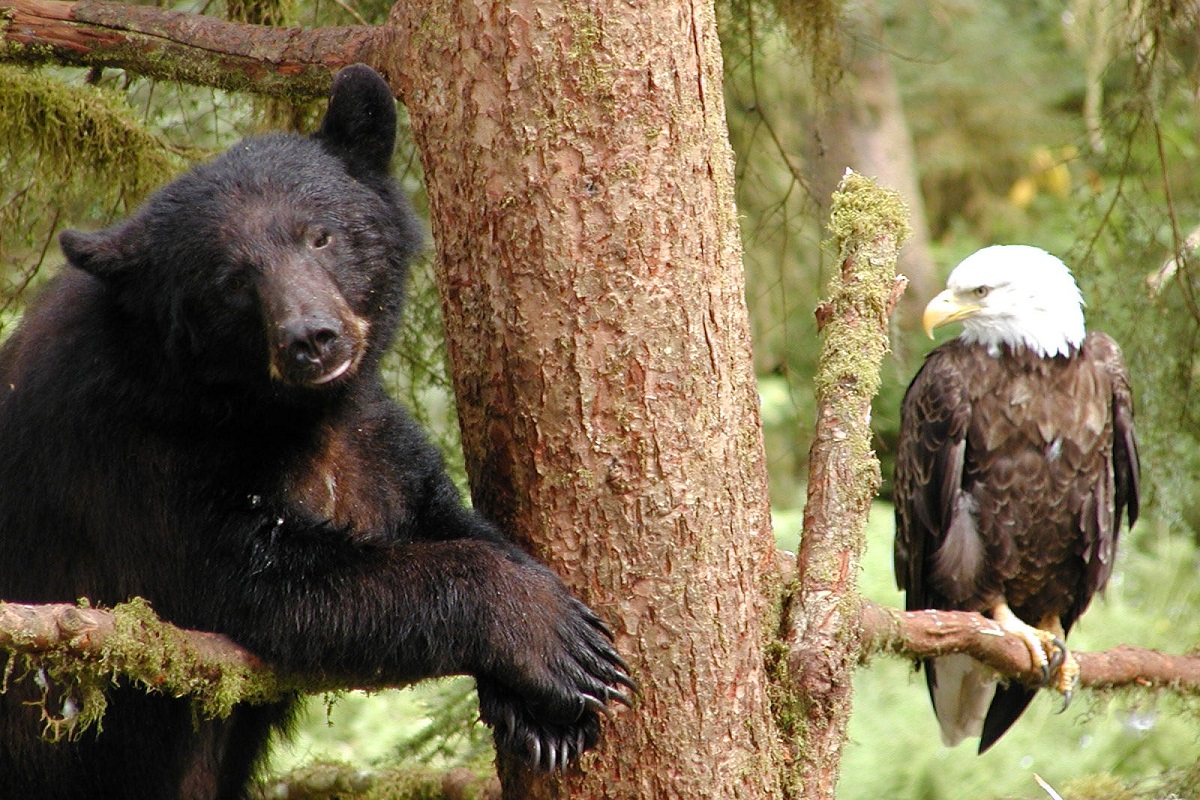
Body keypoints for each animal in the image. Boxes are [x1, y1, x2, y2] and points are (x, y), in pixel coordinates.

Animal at [0, 64, 633, 799]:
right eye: (229, 278)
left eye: (320, 235)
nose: (311, 338)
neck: (268, 407)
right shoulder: (135, 460)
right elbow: (270, 582)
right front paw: (554, 639)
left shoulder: (370, 437)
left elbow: (437, 512)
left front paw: (545, 710)